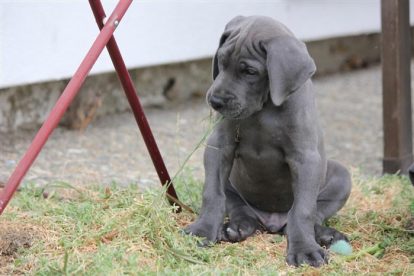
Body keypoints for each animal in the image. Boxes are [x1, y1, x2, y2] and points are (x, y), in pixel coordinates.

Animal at [186, 15, 350, 268]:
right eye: (221, 61)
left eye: (250, 72)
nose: (215, 101)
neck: (264, 108)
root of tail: (272, 223)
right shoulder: (218, 147)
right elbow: (212, 193)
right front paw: (203, 231)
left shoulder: (306, 159)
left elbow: (303, 210)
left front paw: (305, 250)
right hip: (233, 186)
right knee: (241, 210)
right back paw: (235, 229)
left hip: (342, 176)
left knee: (313, 215)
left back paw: (325, 235)